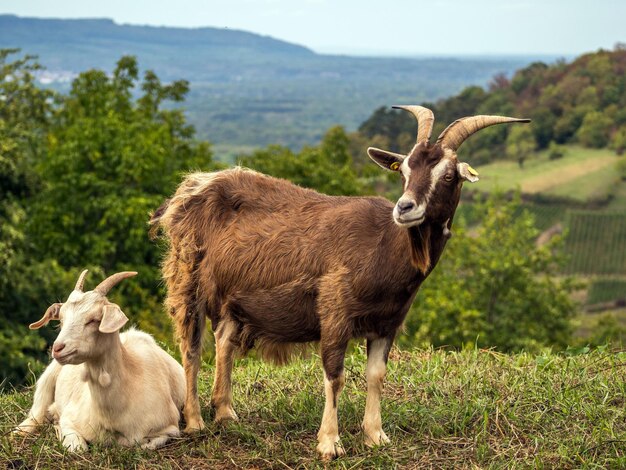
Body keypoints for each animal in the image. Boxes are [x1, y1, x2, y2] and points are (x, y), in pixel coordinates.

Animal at [14, 272, 185, 452]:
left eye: (93, 319)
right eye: (61, 320)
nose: (58, 348)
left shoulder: (170, 427)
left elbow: (148, 444)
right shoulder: (70, 417)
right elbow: (77, 447)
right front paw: (58, 426)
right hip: (49, 375)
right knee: (38, 410)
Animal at [150, 105, 528, 458]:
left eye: (448, 174)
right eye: (405, 170)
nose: (404, 208)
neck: (383, 245)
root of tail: (192, 187)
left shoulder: (388, 322)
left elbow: (376, 374)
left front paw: (375, 436)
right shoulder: (335, 310)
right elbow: (335, 375)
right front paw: (329, 443)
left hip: (233, 297)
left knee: (224, 339)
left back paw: (226, 413)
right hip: (188, 278)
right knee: (191, 346)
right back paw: (196, 421)